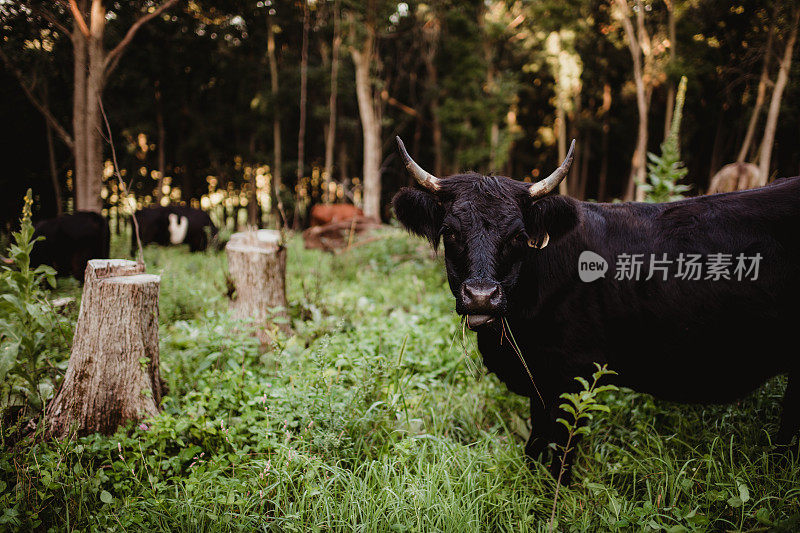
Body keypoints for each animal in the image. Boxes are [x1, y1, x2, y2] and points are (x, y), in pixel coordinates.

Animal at [392, 137, 800, 478]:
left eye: (519, 236)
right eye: (450, 232)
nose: (481, 295)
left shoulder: (574, 376)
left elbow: (560, 454)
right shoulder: (540, 384)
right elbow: (535, 445)